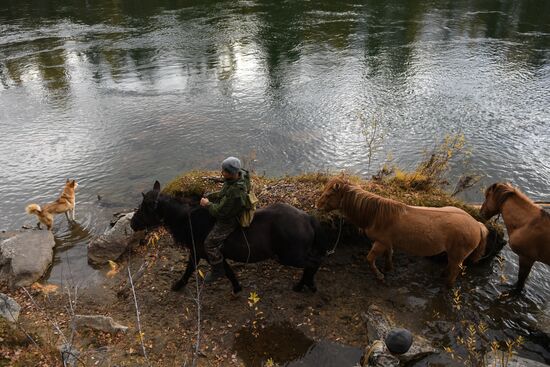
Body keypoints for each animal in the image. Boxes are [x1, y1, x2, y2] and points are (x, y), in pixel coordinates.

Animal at [130, 183, 328, 294]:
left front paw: (177, 285)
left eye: (144, 208)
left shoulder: (201, 252)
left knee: (314, 262)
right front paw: (237, 288)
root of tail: (308, 218)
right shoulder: (215, 254)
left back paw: (305, 285)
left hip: (290, 256)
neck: (188, 222)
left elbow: (189, 270)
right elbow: (229, 272)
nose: (132, 223)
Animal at [316, 178, 490, 288]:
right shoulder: (387, 243)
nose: (317, 206)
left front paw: (379, 275)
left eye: (329, 194)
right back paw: (442, 275)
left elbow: (370, 259)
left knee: (456, 269)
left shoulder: (380, 243)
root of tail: (477, 224)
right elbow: (389, 255)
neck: (376, 215)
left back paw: (448, 285)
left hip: (458, 255)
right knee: (450, 266)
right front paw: (388, 268)